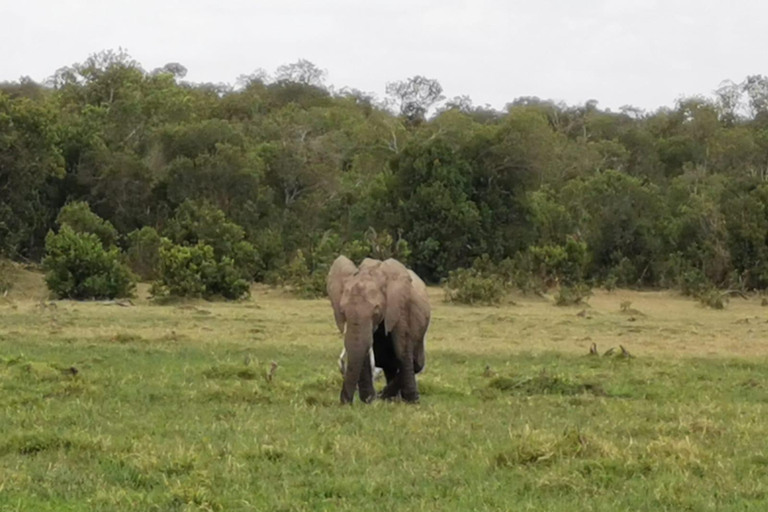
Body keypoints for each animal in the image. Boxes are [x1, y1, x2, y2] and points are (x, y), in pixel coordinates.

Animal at [326, 256, 432, 404]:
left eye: (376, 311)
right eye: (342, 311)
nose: (345, 402)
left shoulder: (399, 307)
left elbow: (402, 347)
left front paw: (412, 401)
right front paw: (368, 400)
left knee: (416, 361)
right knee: (386, 361)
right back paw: (391, 399)